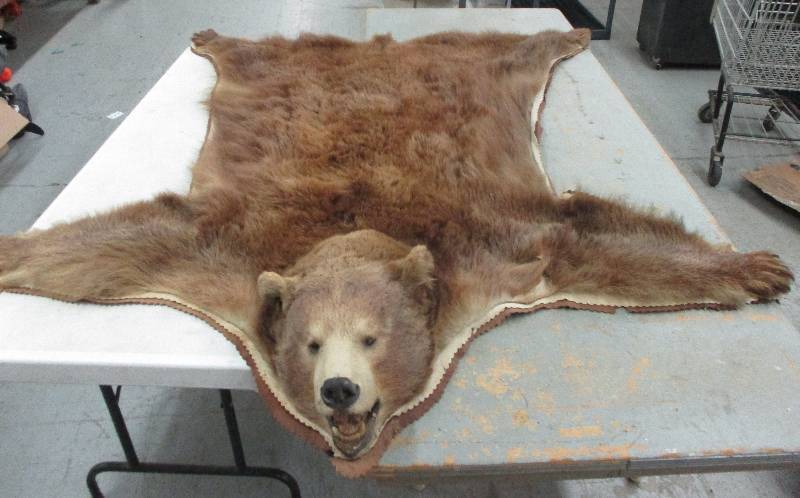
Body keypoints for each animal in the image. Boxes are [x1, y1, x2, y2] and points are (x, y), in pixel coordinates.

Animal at [0, 29, 793, 461]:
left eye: (371, 338)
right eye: (311, 344)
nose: (339, 389)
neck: (349, 232)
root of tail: (378, 45)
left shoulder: (491, 246)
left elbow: (589, 238)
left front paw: (756, 266)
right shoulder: (221, 253)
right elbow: (116, 245)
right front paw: (12, 251)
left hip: (484, 68)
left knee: (513, 50)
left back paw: (566, 35)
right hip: (266, 75)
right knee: (249, 54)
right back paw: (214, 38)